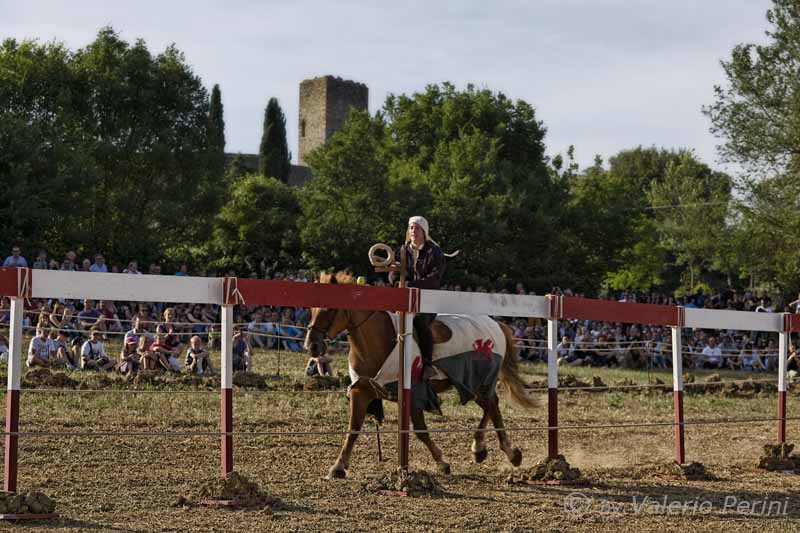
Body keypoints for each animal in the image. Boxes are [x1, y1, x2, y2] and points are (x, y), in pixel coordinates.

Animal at [304, 270, 536, 478]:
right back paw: (490, 450)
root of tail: (496, 323)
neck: (379, 342)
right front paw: (338, 467)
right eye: (311, 308)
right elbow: (353, 428)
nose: (312, 345)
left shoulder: (414, 393)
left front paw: (441, 462)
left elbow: (420, 431)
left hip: (480, 382)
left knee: (491, 405)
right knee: (492, 405)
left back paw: (495, 450)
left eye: (330, 308)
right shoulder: (361, 392)